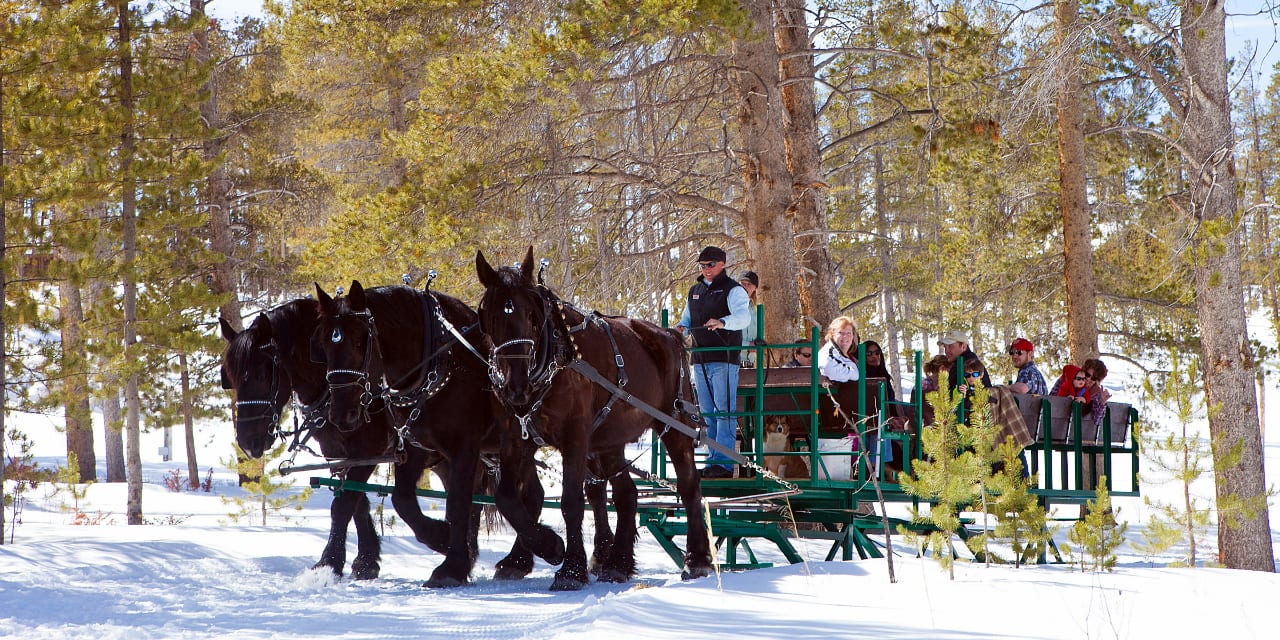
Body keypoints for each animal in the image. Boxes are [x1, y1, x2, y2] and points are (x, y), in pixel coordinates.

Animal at [309, 280, 560, 586]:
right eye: (323, 346)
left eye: (359, 342)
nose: (341, 414)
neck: (438, 363)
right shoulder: (414, 446)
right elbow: (401, 500)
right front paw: (442, 539)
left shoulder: (463, 448)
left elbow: (458, 503)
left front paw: (451, 567)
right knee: (532, 493)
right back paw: (519, 558)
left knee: (527, 494)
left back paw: (529, 553)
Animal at [476, 245, 716, 588]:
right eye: (491, 317)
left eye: (533, 316)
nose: (516, 386)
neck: (556, 356)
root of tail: (669, 334)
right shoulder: (515, 437)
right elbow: (508, 497)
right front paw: (542, 549)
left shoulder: (574, 437)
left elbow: (571, 502)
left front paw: (570, 569)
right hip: (609, 440)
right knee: (627, 494)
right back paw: (617, 563)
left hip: (675, 425)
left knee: (688, 485)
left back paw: (697, 560)